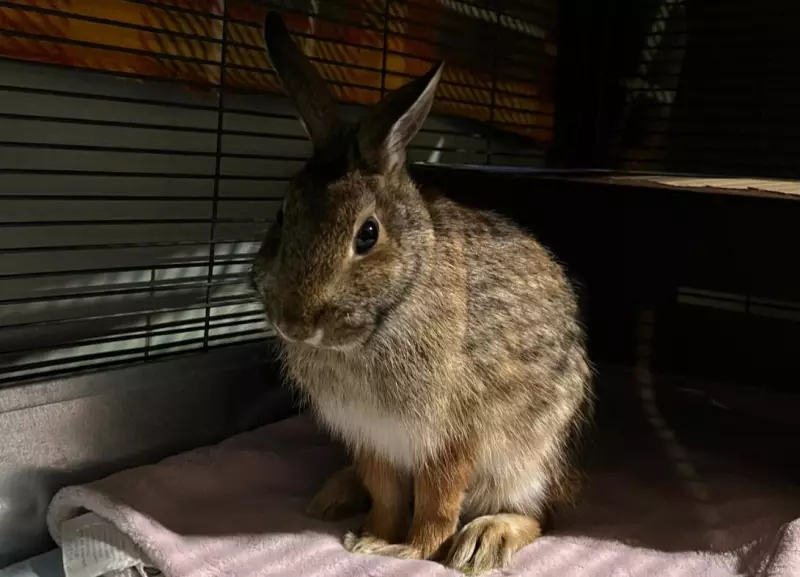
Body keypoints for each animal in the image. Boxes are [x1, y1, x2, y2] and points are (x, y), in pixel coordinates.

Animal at [250, 11, 594, 575]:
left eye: (367, 235)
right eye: (282, 215)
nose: (294, 322)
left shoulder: (452, 437)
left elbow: (437, 501)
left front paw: (410, 550)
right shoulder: (371, 436)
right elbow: (387, 493)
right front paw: (372, 538)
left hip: (528, 456)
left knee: (538, 513)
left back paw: (485, 540)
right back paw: (335, 494)